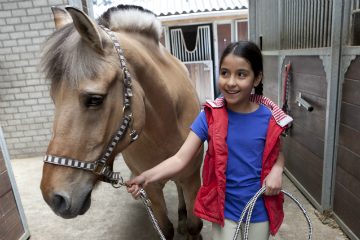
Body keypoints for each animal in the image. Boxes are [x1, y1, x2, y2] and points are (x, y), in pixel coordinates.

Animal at [39, 4, 204, 239]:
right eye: (53, 98)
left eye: (95, 99)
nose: (54, 198)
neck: (166, 127)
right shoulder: (150, 187)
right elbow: (165, 228)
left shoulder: (192, 179)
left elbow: (193, 224)